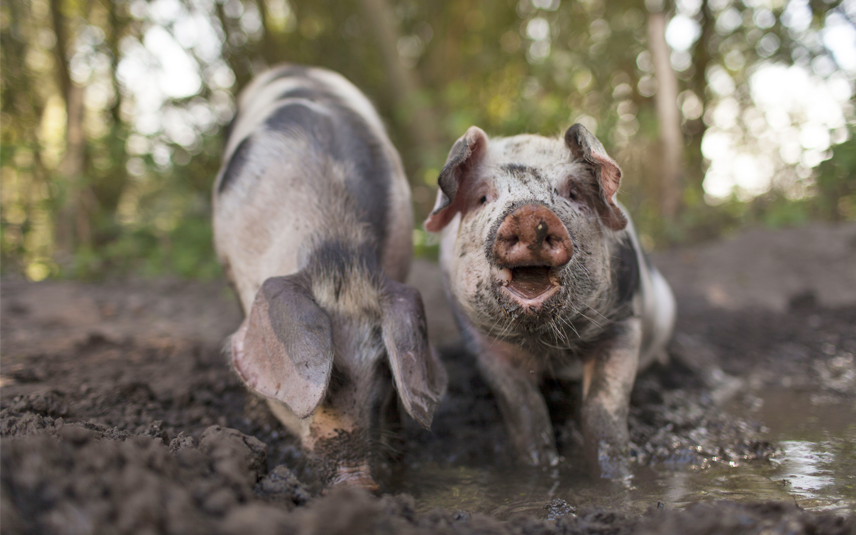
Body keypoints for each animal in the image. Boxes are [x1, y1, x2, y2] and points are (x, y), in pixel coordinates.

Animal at [426, 125, 676, 482]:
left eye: (574, 193)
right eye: (482, 198)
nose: (530, 214)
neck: (546, 347)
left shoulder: (624, 320)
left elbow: (603, 407)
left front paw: (614, 478)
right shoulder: (481, 342)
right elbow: (525, 409)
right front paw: (540, 469)